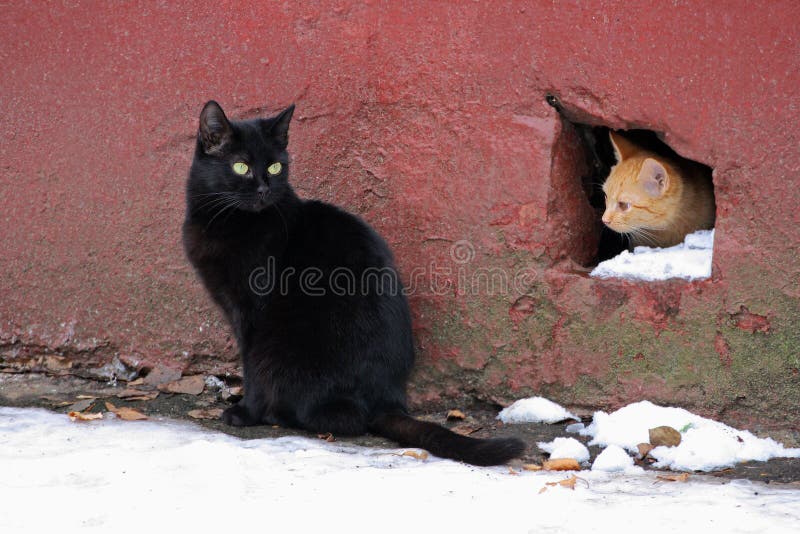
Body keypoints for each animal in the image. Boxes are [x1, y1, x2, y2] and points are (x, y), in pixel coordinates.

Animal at [181, 99, 524, 464]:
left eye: (274, 167)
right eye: (241, 167)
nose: (264, 189)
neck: (224, 222)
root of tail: (388, 400)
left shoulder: (251, 315)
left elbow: (252, 369)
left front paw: (246, 412)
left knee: (340, 417)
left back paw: (278, 413)